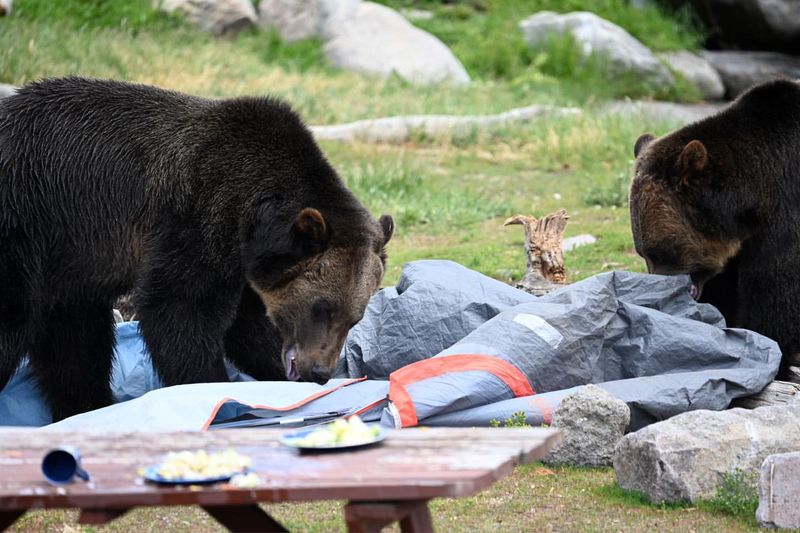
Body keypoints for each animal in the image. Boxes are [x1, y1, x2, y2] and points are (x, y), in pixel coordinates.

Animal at [0, 78, 394, 420]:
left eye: (355, 316)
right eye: (321, 308)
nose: (320, 371)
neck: (253, 221)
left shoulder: (245, 269)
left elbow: (247, 328)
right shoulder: (196, 215)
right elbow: (181, 308)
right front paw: (209, 385)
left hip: (71, 267)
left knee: (76, 346)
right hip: (26, 225)